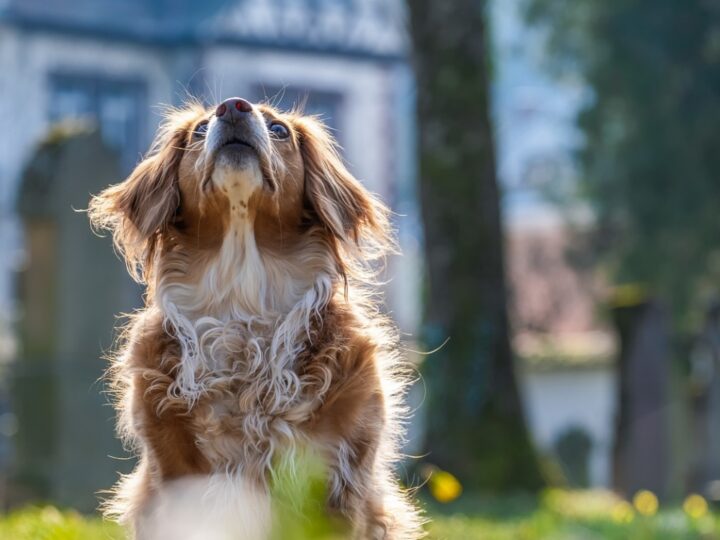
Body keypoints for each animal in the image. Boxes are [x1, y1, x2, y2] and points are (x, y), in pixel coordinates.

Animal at [86, 98, 422, 540]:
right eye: (199, 130)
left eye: (279, 129)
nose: (232, 106)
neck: (241, 299)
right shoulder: (175, 480)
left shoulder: (338, 480)